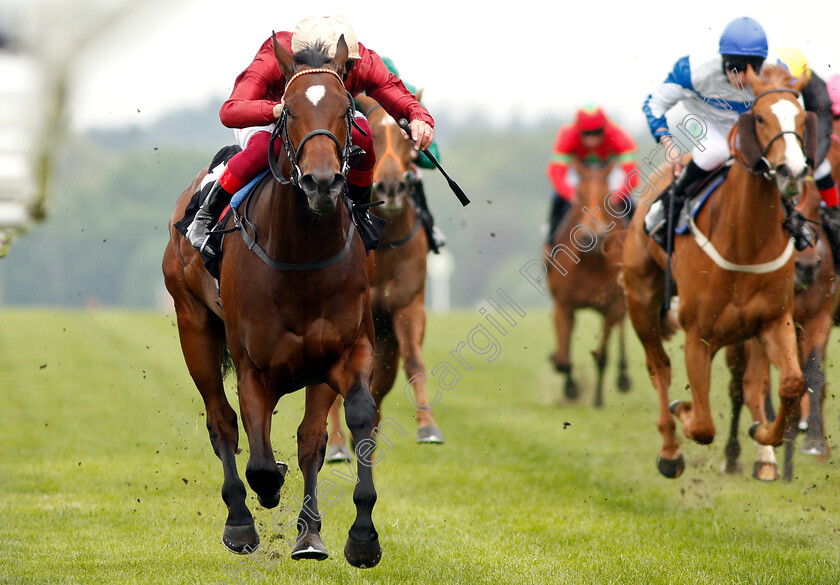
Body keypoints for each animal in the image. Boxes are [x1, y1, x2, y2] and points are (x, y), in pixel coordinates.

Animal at [160, 36, 380, 564]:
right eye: (290, 111)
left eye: (346, 110)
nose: (322, 182)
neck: (300, 258)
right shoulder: (253, 366)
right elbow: (257, 457)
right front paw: (264, 493)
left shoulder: (344, 351)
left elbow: (348, 423)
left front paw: (357, 535)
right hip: (193, 325)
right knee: (221, 422)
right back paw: (240, 521)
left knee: (307, 438)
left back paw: (308, 531)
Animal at [324, 93, 440, 464]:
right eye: (371, 133)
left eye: (408, 139)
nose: (391, 186)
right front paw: (336, 443)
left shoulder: (407, 305)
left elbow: (414, 361)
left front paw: (428, 427)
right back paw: (339, 443)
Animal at [544, 160, 632, 406]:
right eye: (580, 195)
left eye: (607, 195)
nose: (593, 237)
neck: (591, 260)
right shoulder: (563, 304)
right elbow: (563, 359)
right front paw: (570, 388)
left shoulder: (612, 305)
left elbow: (602, 356)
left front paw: (598, 401)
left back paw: (623, 377)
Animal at [624, 65, 812, 474]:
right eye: (760, 117)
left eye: (803, 118)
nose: (791, 171)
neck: (746, 241)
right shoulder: (699, 335)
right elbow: (703, 425)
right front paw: (684, 411)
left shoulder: (774, 319)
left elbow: (790, 383)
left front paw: (764, 433)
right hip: (640, 299)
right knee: (658, 365)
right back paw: (669, 450)